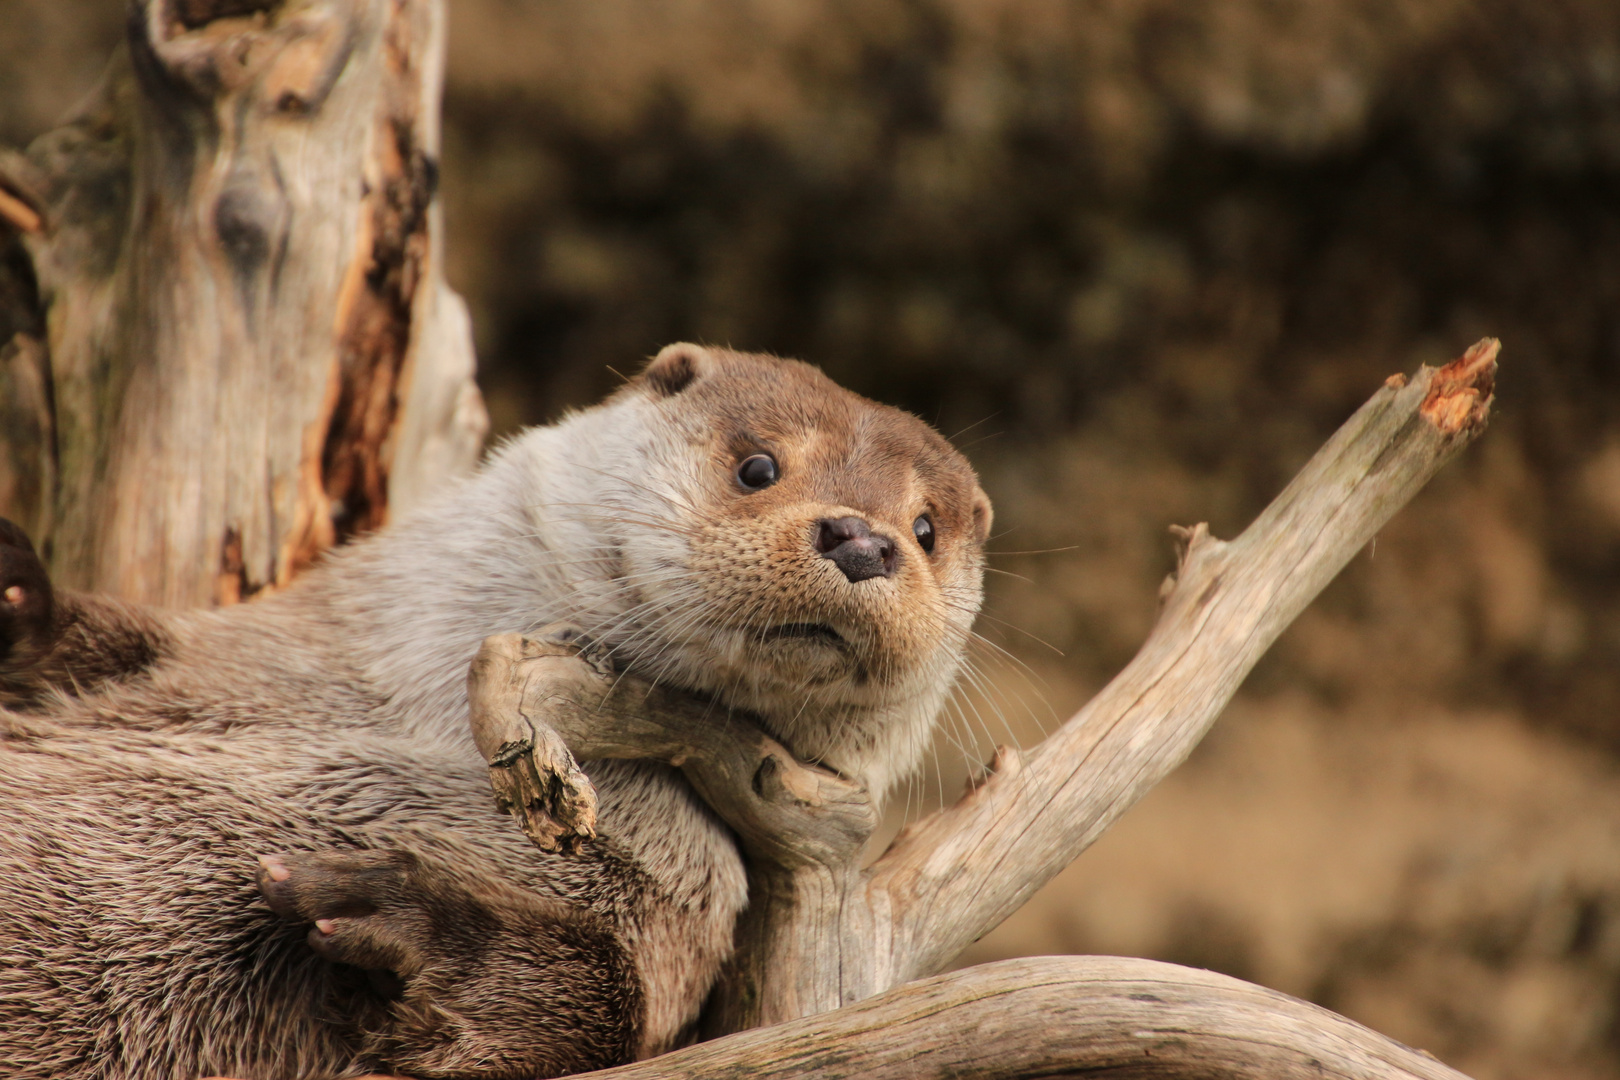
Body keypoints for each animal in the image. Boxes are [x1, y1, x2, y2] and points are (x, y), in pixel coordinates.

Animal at [0, 348, 991, 1080]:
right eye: (759, 466)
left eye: (927, 529)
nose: (863, 538)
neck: (421, 720)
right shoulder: (250, 660)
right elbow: (117, 648)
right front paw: (21, 598)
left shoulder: (677, 909)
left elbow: (605, 1002)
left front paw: (399, 906)